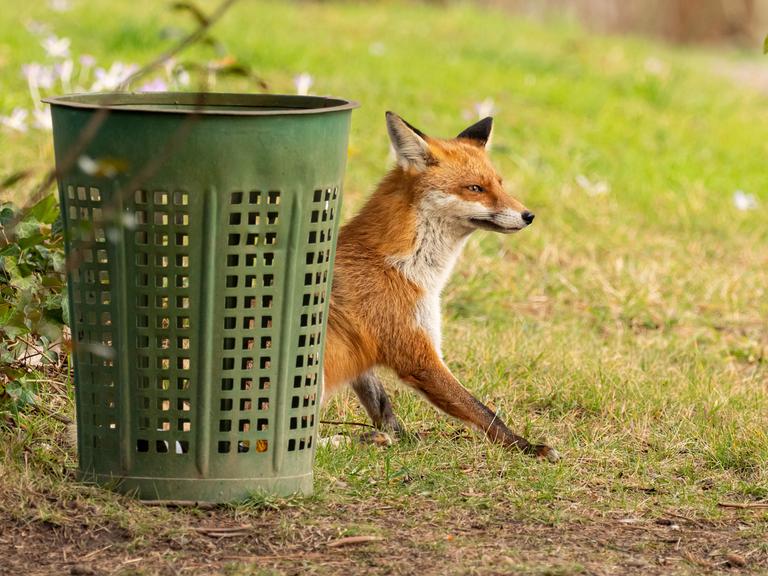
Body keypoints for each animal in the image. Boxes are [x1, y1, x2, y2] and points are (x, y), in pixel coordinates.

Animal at [322, 112, 559, 462]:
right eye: (475, 188)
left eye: (499, 184)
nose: (528, 215)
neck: (402, 266)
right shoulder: (417, 354)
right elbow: (483, 411)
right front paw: (526, 447)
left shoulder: (369, 354)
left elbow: (382, 406)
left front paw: (403, 438)